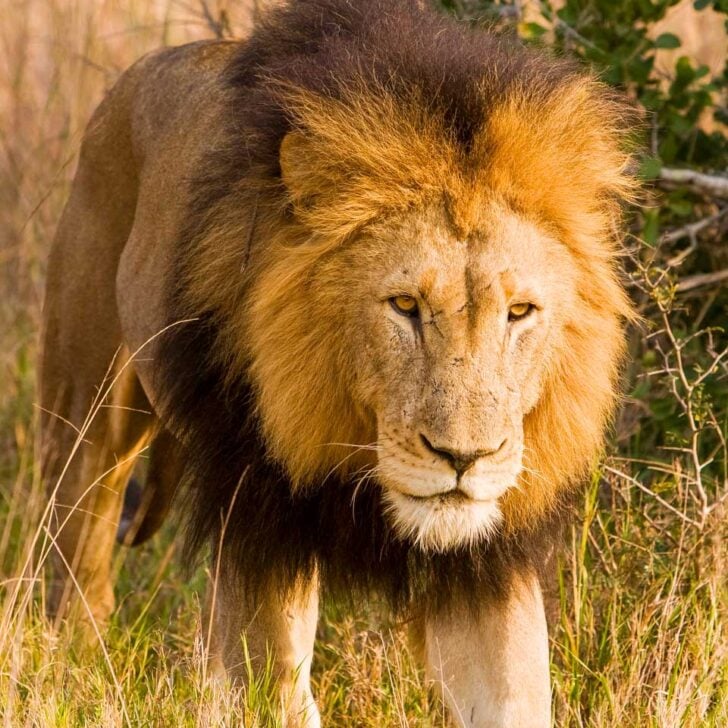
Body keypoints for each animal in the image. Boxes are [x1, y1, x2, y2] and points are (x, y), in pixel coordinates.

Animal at [40, 1, 637, 725]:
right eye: (405, 305)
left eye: (519, 312)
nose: (464, 459)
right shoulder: (261, 523)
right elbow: (277, 687)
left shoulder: (486, 563)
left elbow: (515, 696)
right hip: (85, 412)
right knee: (79, 571)